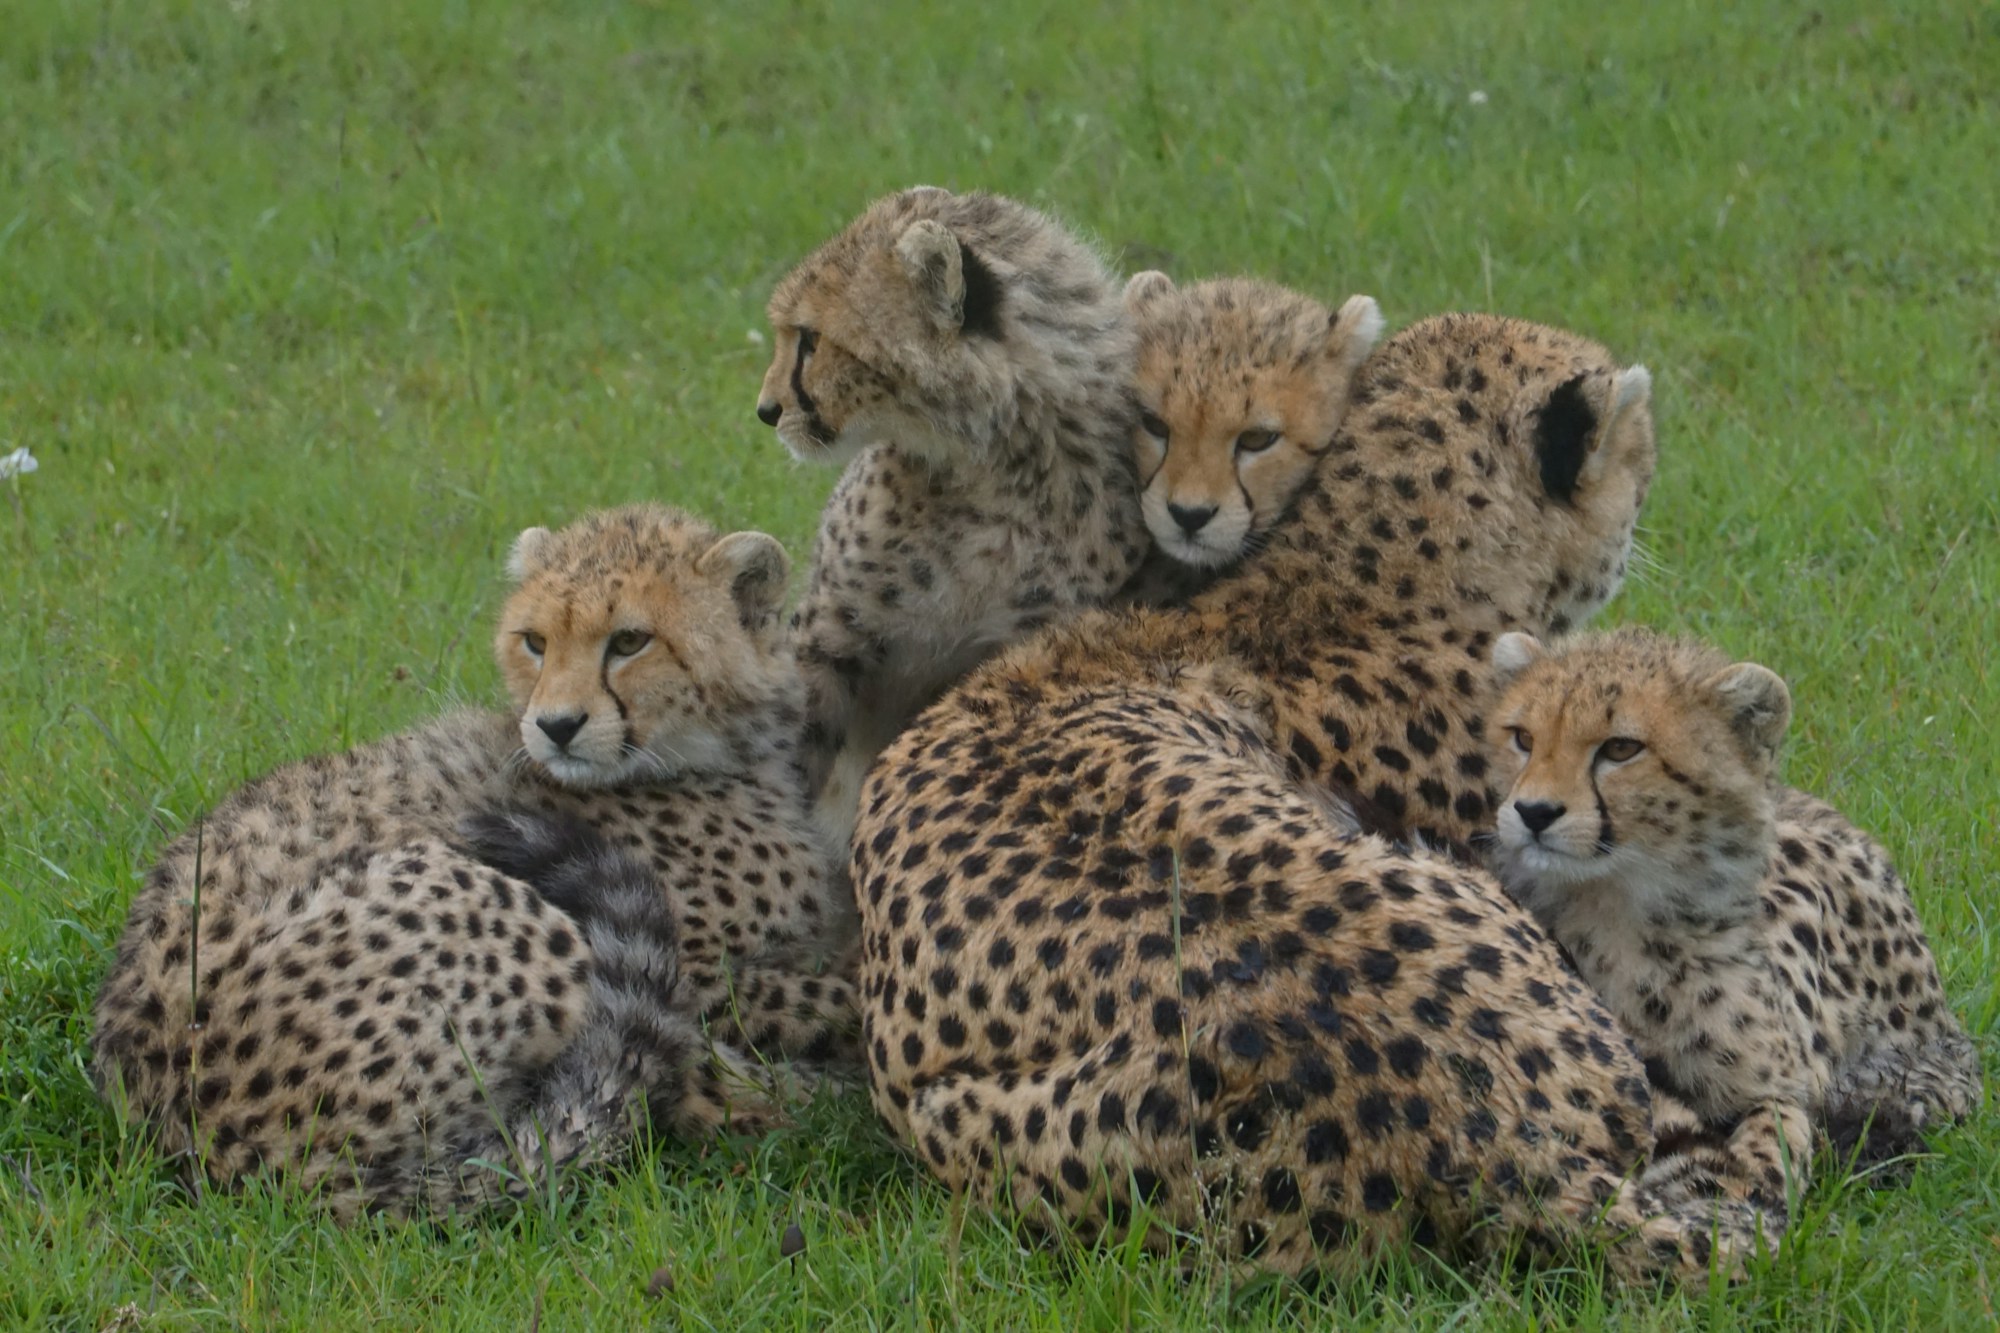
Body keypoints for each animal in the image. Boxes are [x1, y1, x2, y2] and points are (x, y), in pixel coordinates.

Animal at [91, 504, 856, 1218]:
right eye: (536, 642)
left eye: (631, 640)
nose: (555, 726)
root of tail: (257, 1163)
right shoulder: (701, 975)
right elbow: (813, 996)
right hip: (514, 922)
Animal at [1485, 625, 1981, 1214]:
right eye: (1522, 737)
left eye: (1621, 748)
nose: (1533, 812)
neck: (1612, 906)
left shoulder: (1780, 1085)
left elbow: (1776, 1136)